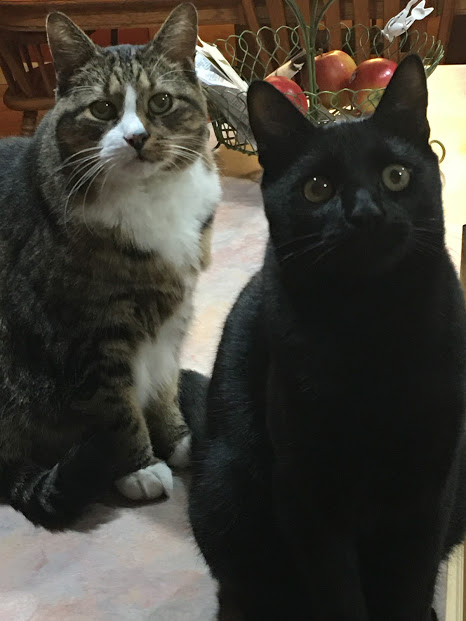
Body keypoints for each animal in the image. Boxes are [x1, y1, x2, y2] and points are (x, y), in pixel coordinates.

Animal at [0, 3, 220, 530]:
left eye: (160, 102)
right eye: (102, 109)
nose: (137, 137)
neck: (149, 197)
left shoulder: (175, 311)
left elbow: (162, 382)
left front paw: (176, 436)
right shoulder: (89, 326)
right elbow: (115, 405)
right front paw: (138, 467)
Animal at [188, 55, 466, 620]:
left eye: (396, 176)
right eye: (317, 188)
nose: (365, 214)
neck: (371, 326)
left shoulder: (431, 485)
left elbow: (410, 587)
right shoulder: (309, 497)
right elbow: (341, 597)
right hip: (224, 491)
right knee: (242, 589)